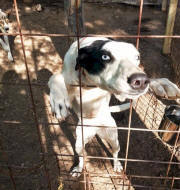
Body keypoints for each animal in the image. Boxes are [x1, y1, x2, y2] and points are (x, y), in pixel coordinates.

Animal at [48, 36, 180, 177]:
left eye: (137, 57)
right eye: (105, 57)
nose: (141, 80)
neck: (89, 82)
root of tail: (96, 129)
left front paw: (161, 84)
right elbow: (55, 76)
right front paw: (59, 99)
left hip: (113, 139)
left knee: (115, 152)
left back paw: (116, 165)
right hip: (79, 142)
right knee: (82, 156)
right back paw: (79, 168)